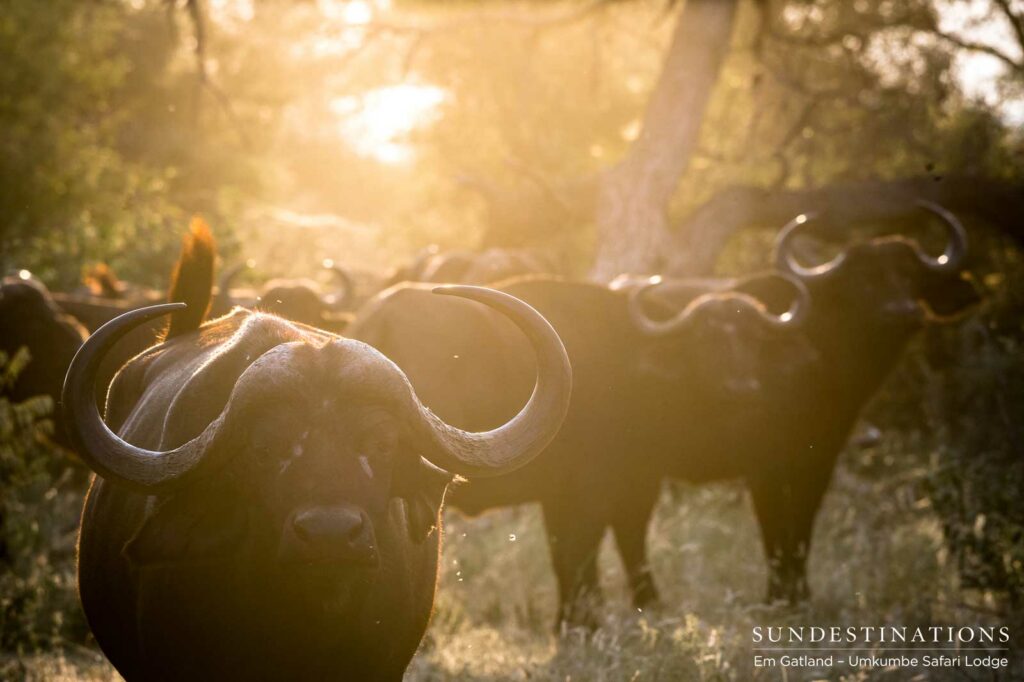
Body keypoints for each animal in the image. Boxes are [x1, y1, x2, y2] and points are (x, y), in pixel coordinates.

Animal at [348, 272, 810, 625]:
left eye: (753, 340)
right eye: (703, 341)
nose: (743, 389)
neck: (628, 364)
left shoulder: (615, 484)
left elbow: (598, 545)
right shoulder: (595, 487)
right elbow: (583, 548)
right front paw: (583, 623)